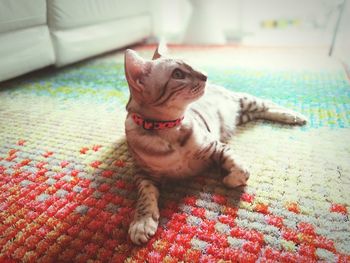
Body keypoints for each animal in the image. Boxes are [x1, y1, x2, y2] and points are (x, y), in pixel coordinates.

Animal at [123, 46, 306, 245]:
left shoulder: (216, 146)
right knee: (262, 112)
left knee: (268, 104)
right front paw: (142, 222)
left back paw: (294, 116)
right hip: (243, 115)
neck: (169, 129)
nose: (205, 75)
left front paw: (228, 180)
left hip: (245, 101)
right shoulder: (143, 173)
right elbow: (145, 196)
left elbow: (242, 170)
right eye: (178, 74)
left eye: (190, 64)